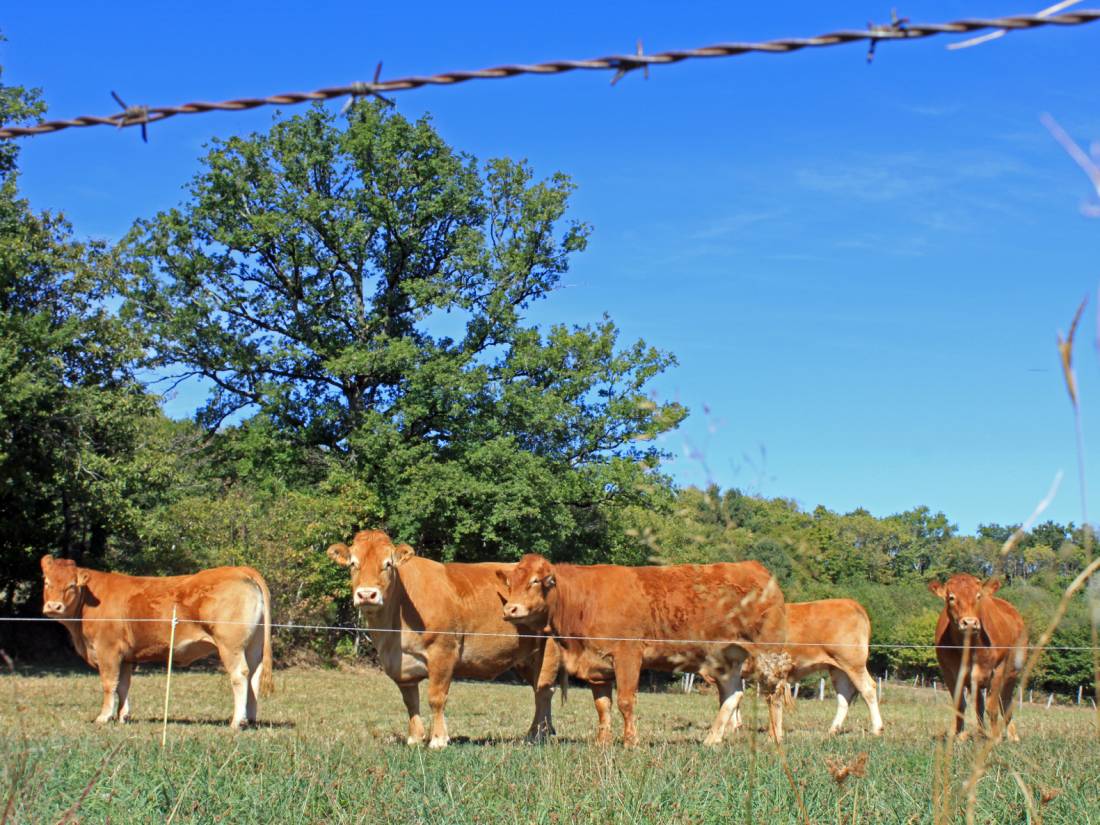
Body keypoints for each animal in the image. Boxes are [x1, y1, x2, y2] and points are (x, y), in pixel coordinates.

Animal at [42, 556, 275, 730]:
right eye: (47, 582)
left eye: (72, 585)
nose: (54, 606)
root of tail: (240, 570)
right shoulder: (126, 657)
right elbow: (123, 685)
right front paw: (123, 716)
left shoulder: (108, 650)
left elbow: (109, 684)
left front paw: (104, 716)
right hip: (253, 646)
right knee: (254, 676)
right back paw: (250, 719)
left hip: (230, 645)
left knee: (240, 675)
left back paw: (237, 721)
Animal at [325, 532, 558, 752]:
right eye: (353, 564)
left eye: (388, 564)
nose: (367, 595)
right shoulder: (401, 667)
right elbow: (410, 702)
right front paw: (415, 738)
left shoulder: (443, 652)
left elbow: (436, 698)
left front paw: (438, 739)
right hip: (526, 658)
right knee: (541, 691)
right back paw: (543, 732)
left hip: (548, 652)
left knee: (543, 691)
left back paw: (536, 734)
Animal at [499, 556, 792, 748]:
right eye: (511, 583)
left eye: (536, 581)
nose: (510, 609)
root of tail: (754, 567)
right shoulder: (597, 665)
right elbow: (602, 705)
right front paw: (602, 742)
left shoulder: (628, 654)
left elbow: (625, 701)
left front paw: (631, 741)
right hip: (726, 658)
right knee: (733, 694)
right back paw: (711, 740)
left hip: (769, 652)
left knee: (774, 692)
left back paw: (774, 738)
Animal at [712, 602, 884, 734]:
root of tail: (851, 603)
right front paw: (734, 726)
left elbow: (728, 698)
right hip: (838, 668)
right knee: (844, 694)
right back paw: (833, 730)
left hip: (853, 662)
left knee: (868, 689)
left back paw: (877, 729)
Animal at [928, 576, 1029, 743]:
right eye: (951, 598)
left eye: (978, 596)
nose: (969, 622)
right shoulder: (949, 673)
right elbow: (960, 705)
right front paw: (960, 736)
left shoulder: (998, 670)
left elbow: (992, 707)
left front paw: (996, 738)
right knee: (979, 706)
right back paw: (981, 734)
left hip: (1012, 673)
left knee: (1005, 702)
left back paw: (1012, 736)